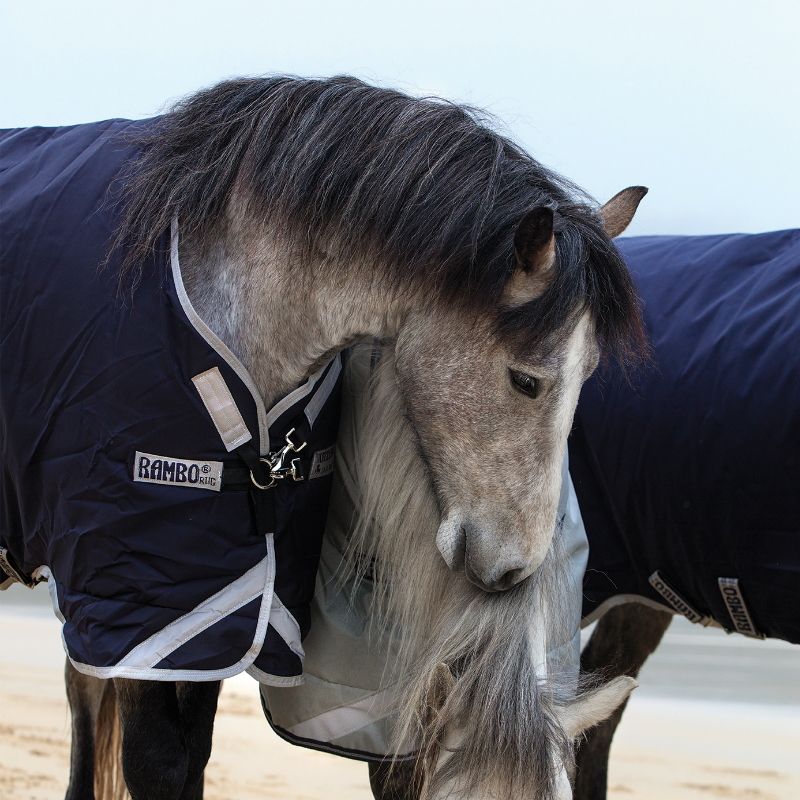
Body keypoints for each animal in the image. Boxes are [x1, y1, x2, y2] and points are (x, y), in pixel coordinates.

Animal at [1, 75, 646, 799]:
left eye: (587, 376)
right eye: (527, 380)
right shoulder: (145, 607)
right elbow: (157, 761)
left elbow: (193, 751)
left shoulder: (227, 602)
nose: (515, 570)